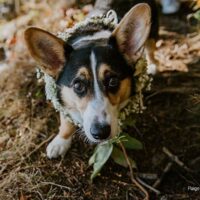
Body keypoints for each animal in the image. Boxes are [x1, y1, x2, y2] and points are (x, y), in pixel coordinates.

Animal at [24, 0, 159, 159]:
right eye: (78, 85)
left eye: (113, 81)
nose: (100, 133)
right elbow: (66, 123)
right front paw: (60, 142)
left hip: (153, 31)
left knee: (151, 47)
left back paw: (153, 65)